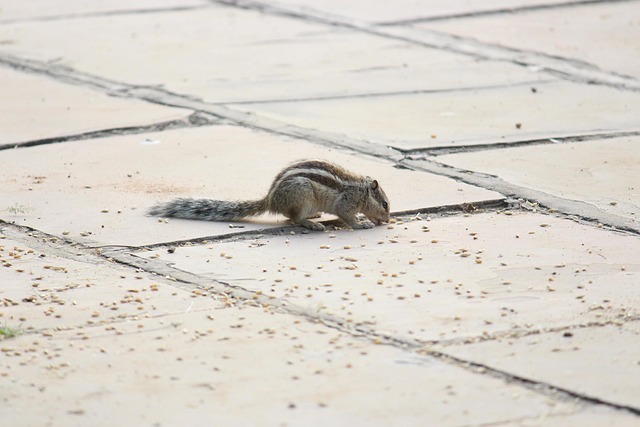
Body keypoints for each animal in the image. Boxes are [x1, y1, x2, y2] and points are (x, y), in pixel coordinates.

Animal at [148, 159, 390, 231]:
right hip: (302, 195)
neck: (361, 191)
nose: (388, 221)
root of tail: (270, 200)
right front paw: (362, 223)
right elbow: (348, 216)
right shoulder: (346, 203)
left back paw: (314, 217)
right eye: (385, 205)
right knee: (293, 218)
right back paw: (312, 224)